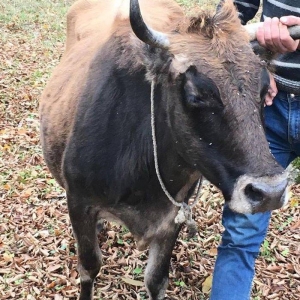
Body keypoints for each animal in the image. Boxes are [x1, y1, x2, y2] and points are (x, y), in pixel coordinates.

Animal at [39, 0, 288, 300]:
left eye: (264, 91)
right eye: (196, 95)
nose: (270, 192)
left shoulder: (172, 215)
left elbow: (156, 279)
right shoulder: (79, 203)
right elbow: (89, 267)